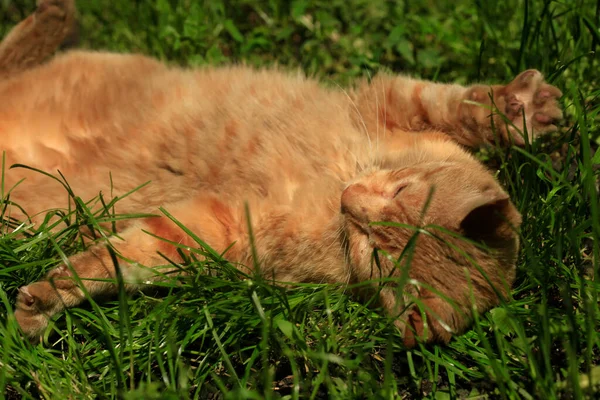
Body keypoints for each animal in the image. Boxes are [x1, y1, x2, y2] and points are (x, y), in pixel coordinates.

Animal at [0, 0, 564, 346]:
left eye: (377, 255)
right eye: (403, 190)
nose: (349, 200)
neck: (338, 177)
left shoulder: (219, 232)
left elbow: (118, 261)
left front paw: (49, 297)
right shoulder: (392, 102)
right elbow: (461, 105)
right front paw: (521, 110)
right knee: (11, 54)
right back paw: (54, 13)